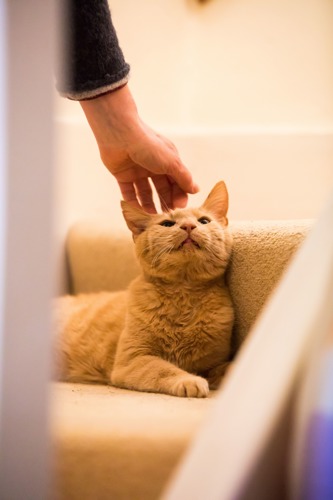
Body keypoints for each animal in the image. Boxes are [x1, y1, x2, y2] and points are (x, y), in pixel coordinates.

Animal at [53, 182, 233, 396]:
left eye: (204, 221)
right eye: (167, 224)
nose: (189, 226)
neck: (184, 293)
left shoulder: (213, 362)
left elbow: (226, 367)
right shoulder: (134, 360)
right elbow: (164, 369)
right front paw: (189, 380)